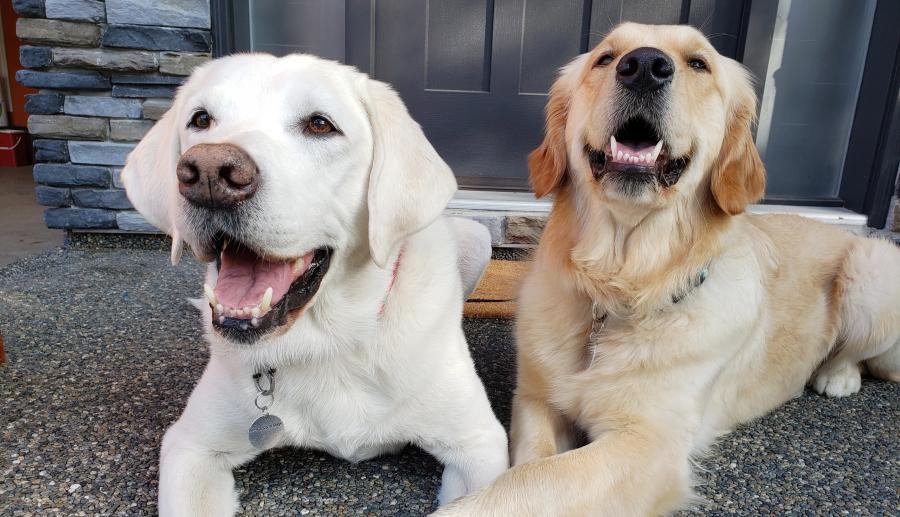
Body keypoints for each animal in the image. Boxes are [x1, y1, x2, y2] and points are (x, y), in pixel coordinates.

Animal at [123, 54, 510, 512]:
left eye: (320, 124)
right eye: (201, 119)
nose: (209, 174)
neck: (329, 344)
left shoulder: (479, 446)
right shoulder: (189, 447)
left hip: (477, 237)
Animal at [436, 22, 900, 512]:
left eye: (699, 63)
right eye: (605, 58)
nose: (643, 66)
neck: (619, 286)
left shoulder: (649, 446)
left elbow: (528, 483)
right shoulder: (536, 399)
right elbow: (528, 463)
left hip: (873, 266)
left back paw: (837, 376)